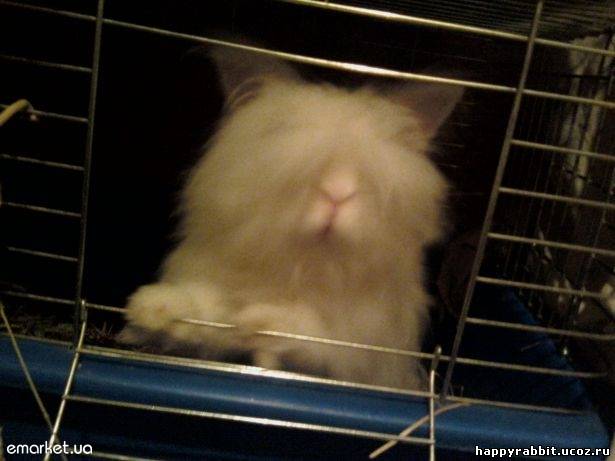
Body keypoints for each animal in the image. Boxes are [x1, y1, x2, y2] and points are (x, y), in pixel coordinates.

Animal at [120, 46, 463, 390]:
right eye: (281, 135)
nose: (337, 192)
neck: (305, 268)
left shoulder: (363, 357)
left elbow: (322, 342)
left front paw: (265, 323)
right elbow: (206, 313)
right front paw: (153, 308)